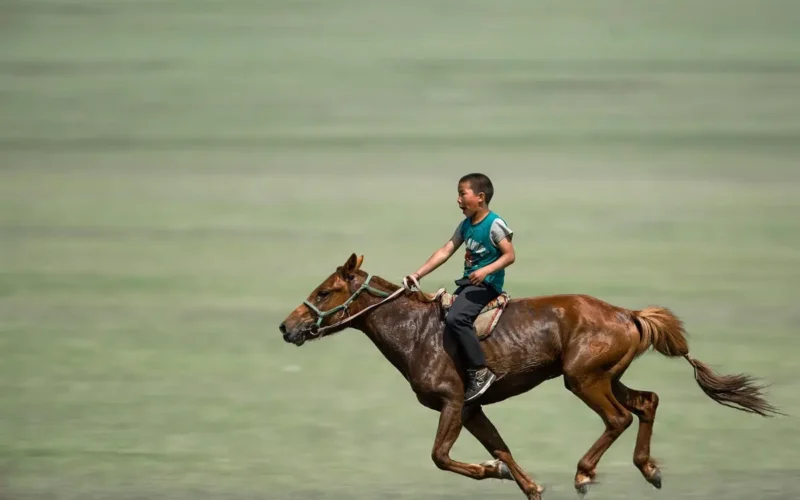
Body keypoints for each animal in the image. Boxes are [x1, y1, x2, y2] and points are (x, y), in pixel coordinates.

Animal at [278, 253, 781, 500]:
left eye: (324, 291)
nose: (287, 327)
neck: (416, 332)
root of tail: (628, 314)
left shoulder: (453, 403)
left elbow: (441, 456)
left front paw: (492, 471)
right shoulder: (473, 409)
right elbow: (502, 448)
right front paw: (526, 483)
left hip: (583, 380)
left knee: (619, 418)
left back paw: (584, 474)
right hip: (606, 376)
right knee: (647, 402)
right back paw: (650, 470)